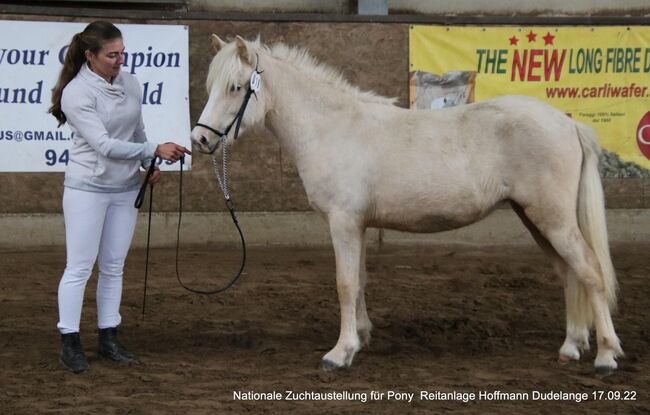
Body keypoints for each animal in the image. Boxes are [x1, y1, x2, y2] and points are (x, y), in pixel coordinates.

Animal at [190, 35, 620, 374]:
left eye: (235, 87)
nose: (201, 140)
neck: (332, 128)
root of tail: (568, 123)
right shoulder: (358, 225)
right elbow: (360, 281)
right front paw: (360, 337)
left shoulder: (342, 222)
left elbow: (345, 283)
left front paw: (339, 354)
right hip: (537, 219)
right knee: (569, 274)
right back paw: (571, 346)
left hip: (553, 220)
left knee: (591, 272)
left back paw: (605, 356)